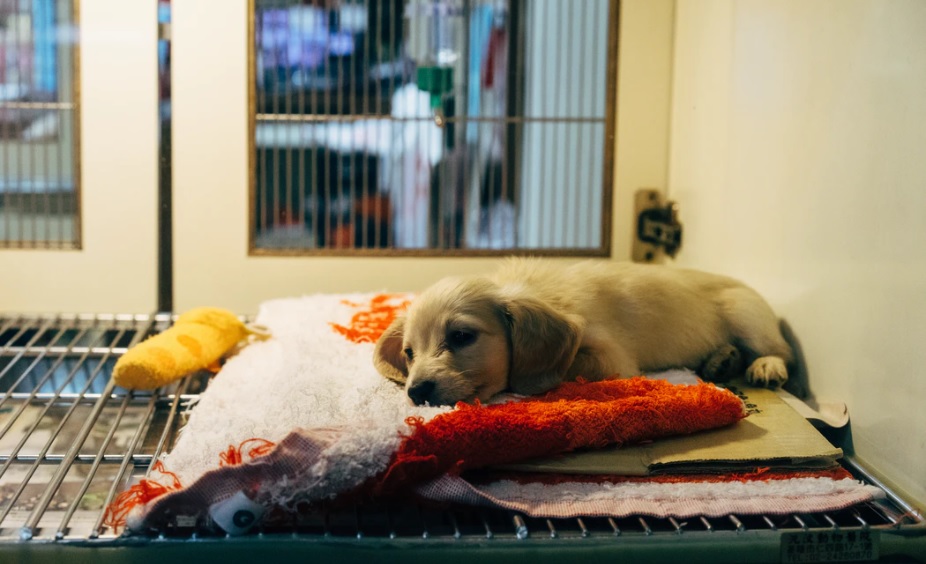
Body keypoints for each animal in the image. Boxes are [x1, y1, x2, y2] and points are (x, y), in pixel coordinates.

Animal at [374, 260, 792, 406]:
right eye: (409, 353)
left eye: (461, 336)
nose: (416, 392)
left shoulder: (612, 357)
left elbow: (568, 365)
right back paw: (722, 360)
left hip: (746, 314)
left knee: (778, 350)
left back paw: (765, 366)